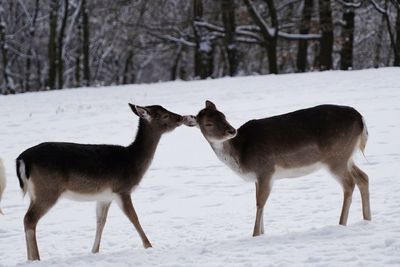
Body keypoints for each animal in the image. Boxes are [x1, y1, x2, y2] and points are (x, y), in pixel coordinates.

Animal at [15, 103, 184, 262]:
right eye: (164, 115)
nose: (181, 117)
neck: (132, 161)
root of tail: (23, 159)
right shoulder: (121, 189)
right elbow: (134, 218)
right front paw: (149, 246)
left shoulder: (104, 197)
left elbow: (100, 222)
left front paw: (94, 251)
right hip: (48, 190)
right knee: (29, 219)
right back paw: (35, 258)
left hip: (35, 193)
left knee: (27, 219)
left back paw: (29, 258)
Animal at [184, 101, 372, 238]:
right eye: (208, 123)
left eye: (223, 115)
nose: (232, 130)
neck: (240, 155)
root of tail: (361, 119)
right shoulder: (258, 177)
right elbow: (259, 202)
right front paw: (262, 234)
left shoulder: (266, 169)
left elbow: (260, 202)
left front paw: (255, 235)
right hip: (347, 156)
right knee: (363, 177)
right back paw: (367, 220)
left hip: (336, 157)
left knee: (349, 184)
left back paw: (341, 224)